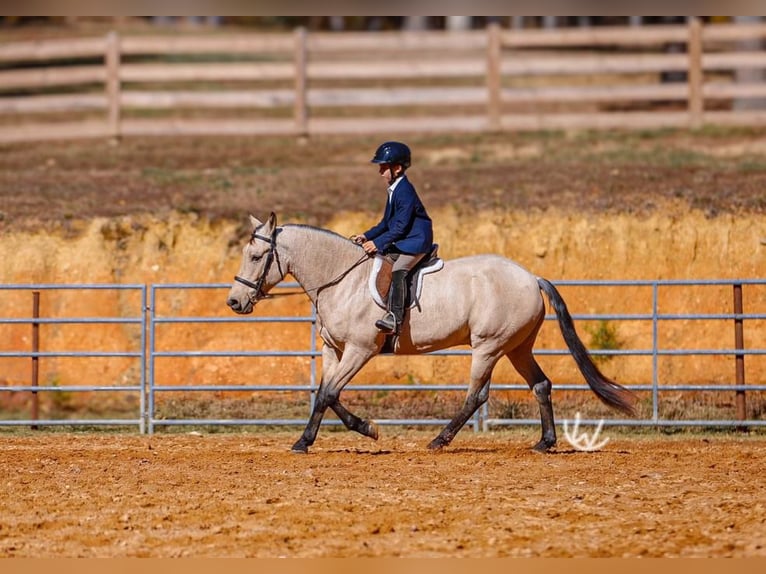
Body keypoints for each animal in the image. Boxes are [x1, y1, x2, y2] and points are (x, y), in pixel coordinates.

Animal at [226, 213, 637, 454]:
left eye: (257, 257)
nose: (234, 301)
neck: (342, 279)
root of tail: (531, 277)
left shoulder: (360, 349)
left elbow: (328, 394)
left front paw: (304, 442)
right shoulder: (333, 350)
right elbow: (328, 393)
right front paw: (367, 428)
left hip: (488, 347)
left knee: (476, 395)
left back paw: (439, 440)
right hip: (517, 347)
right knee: (541, 385)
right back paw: (544, 442)